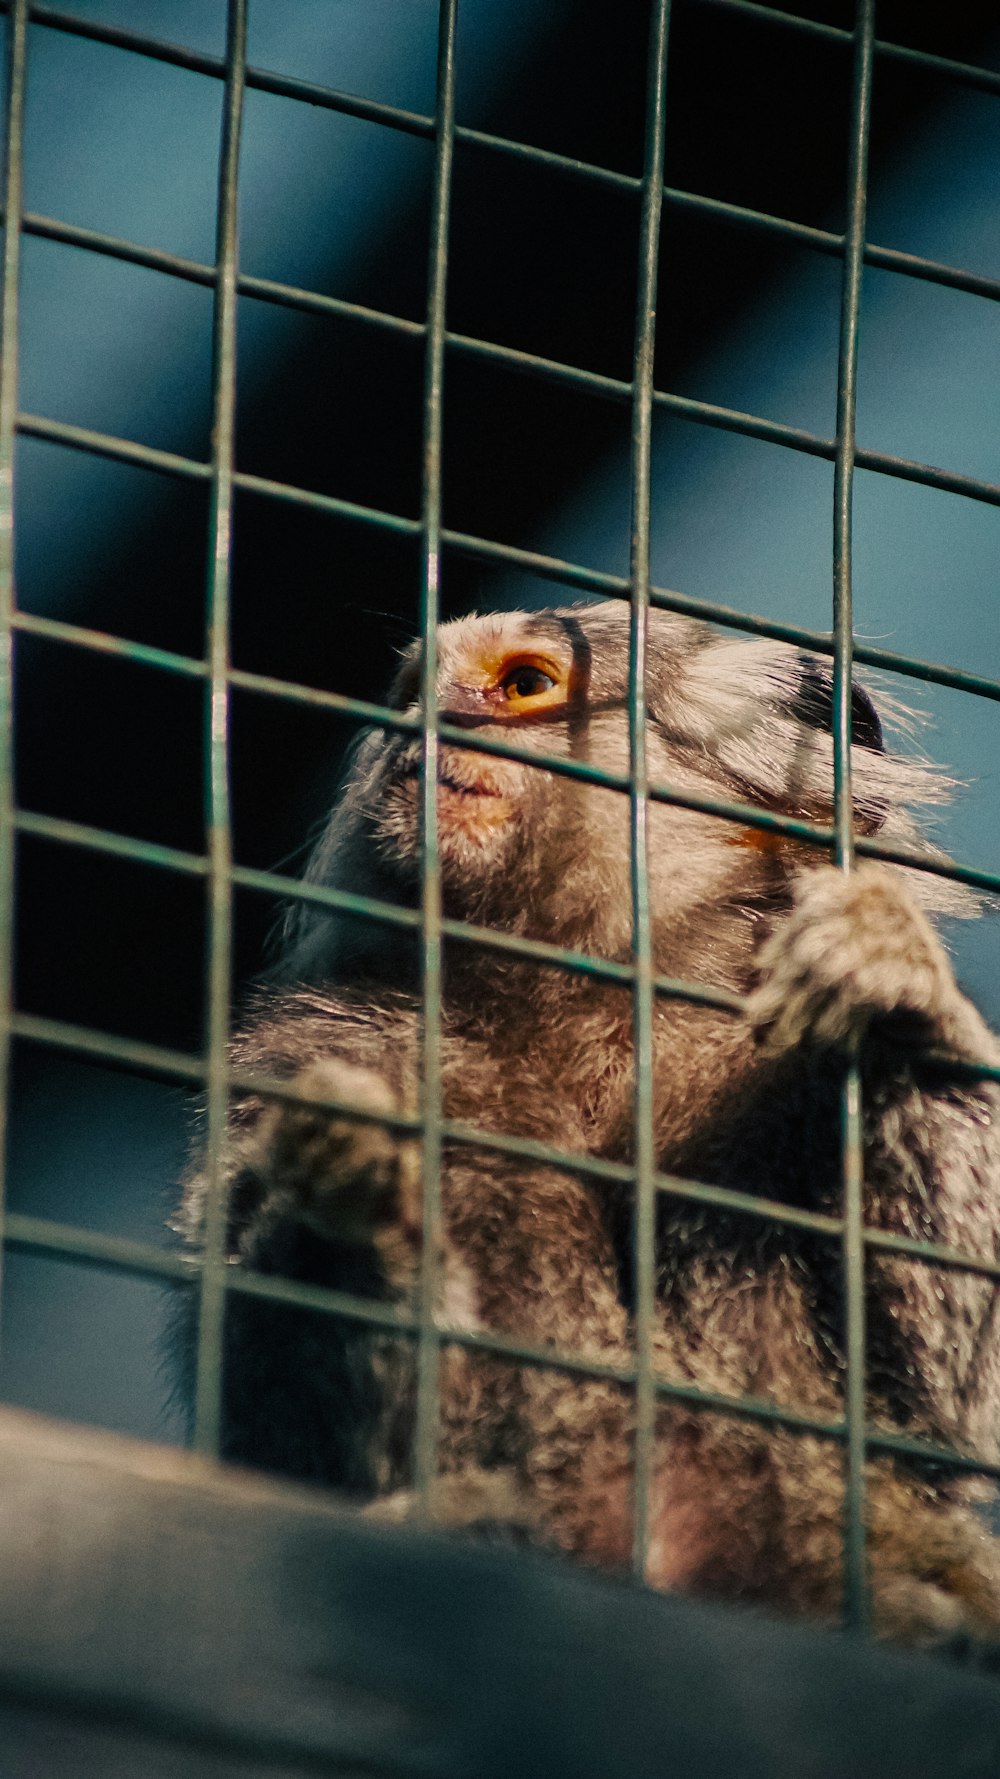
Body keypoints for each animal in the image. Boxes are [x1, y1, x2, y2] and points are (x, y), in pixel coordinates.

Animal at [178, 604, 996, 1643]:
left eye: (524, 686)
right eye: (411, 696)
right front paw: (362, 1196)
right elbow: (277, 1416)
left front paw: (896, 988)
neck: (586, 1009)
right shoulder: (307, 1045)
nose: (427, 728)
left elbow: (930, 1401)